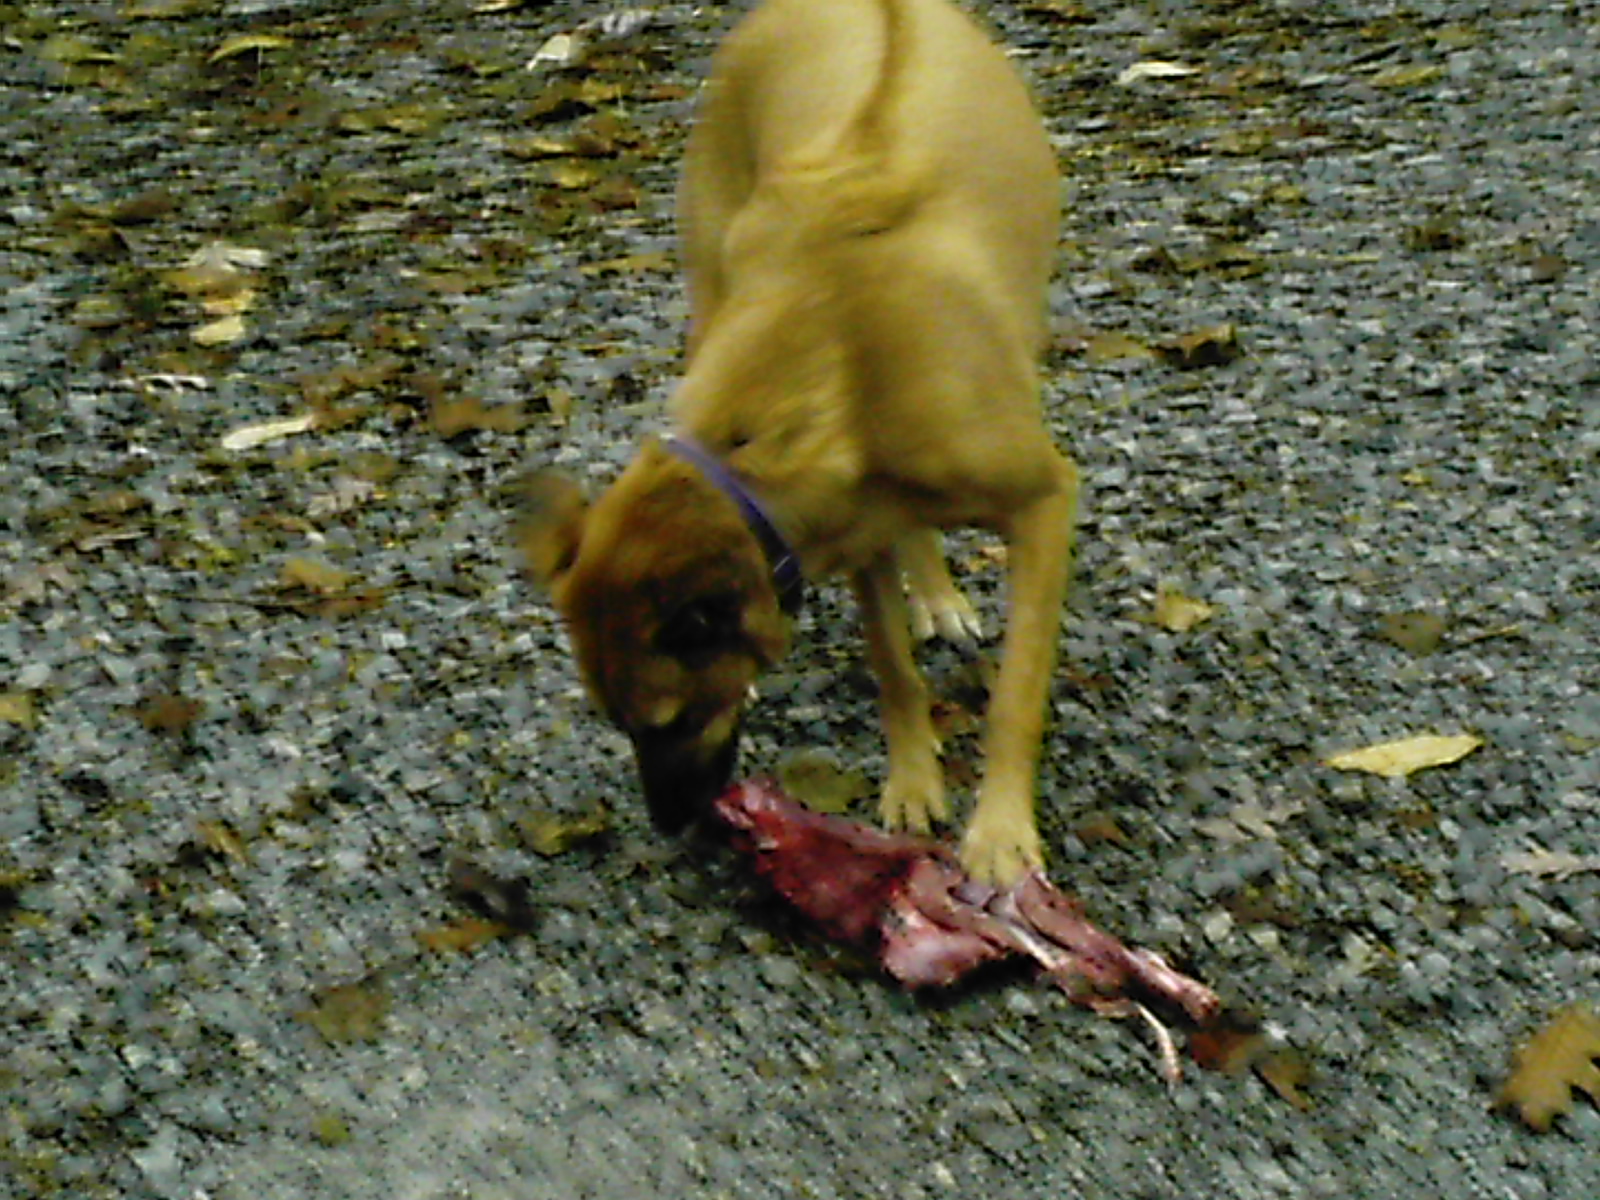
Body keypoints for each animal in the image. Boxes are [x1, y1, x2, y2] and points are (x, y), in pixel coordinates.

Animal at [519, 0, 1076, 885]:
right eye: (620, 722)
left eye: (670, 719)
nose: (671, 825)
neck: (838, 334)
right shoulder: (852, 528)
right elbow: (891, 665)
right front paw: (913, 780)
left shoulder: (1043, 504)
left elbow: (1017, 692)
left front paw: (998, 833)